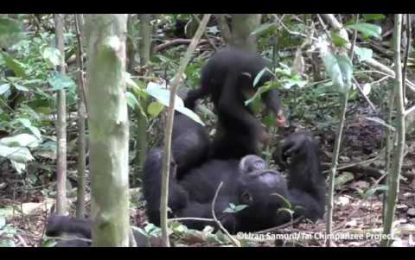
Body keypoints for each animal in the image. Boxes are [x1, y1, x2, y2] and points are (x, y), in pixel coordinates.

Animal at [145, 131, 326, 233]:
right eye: (262, 172)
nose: (258, 164)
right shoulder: (297, 206)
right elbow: (314, 201)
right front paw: (300, 142)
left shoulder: (220, 213)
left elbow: (171, 215)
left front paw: (159, 157)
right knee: (196, 144)